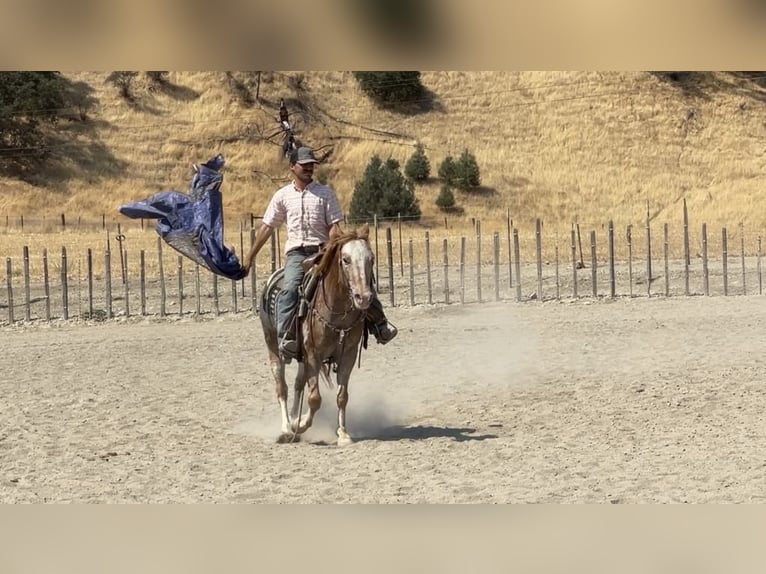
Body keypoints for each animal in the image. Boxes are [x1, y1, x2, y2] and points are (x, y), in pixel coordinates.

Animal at [259, 225, 375, 445]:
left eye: (371, 259)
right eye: (345, 259)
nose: (364, 297)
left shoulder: (348, 355)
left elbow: (342, 396)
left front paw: (343, 434)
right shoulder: (313, 354)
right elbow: (314, 398)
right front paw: (300, 424)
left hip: (302, 358)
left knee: (298, 384)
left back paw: (293, 418)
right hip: (272, 346)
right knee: (282, 387)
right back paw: (286, 428)